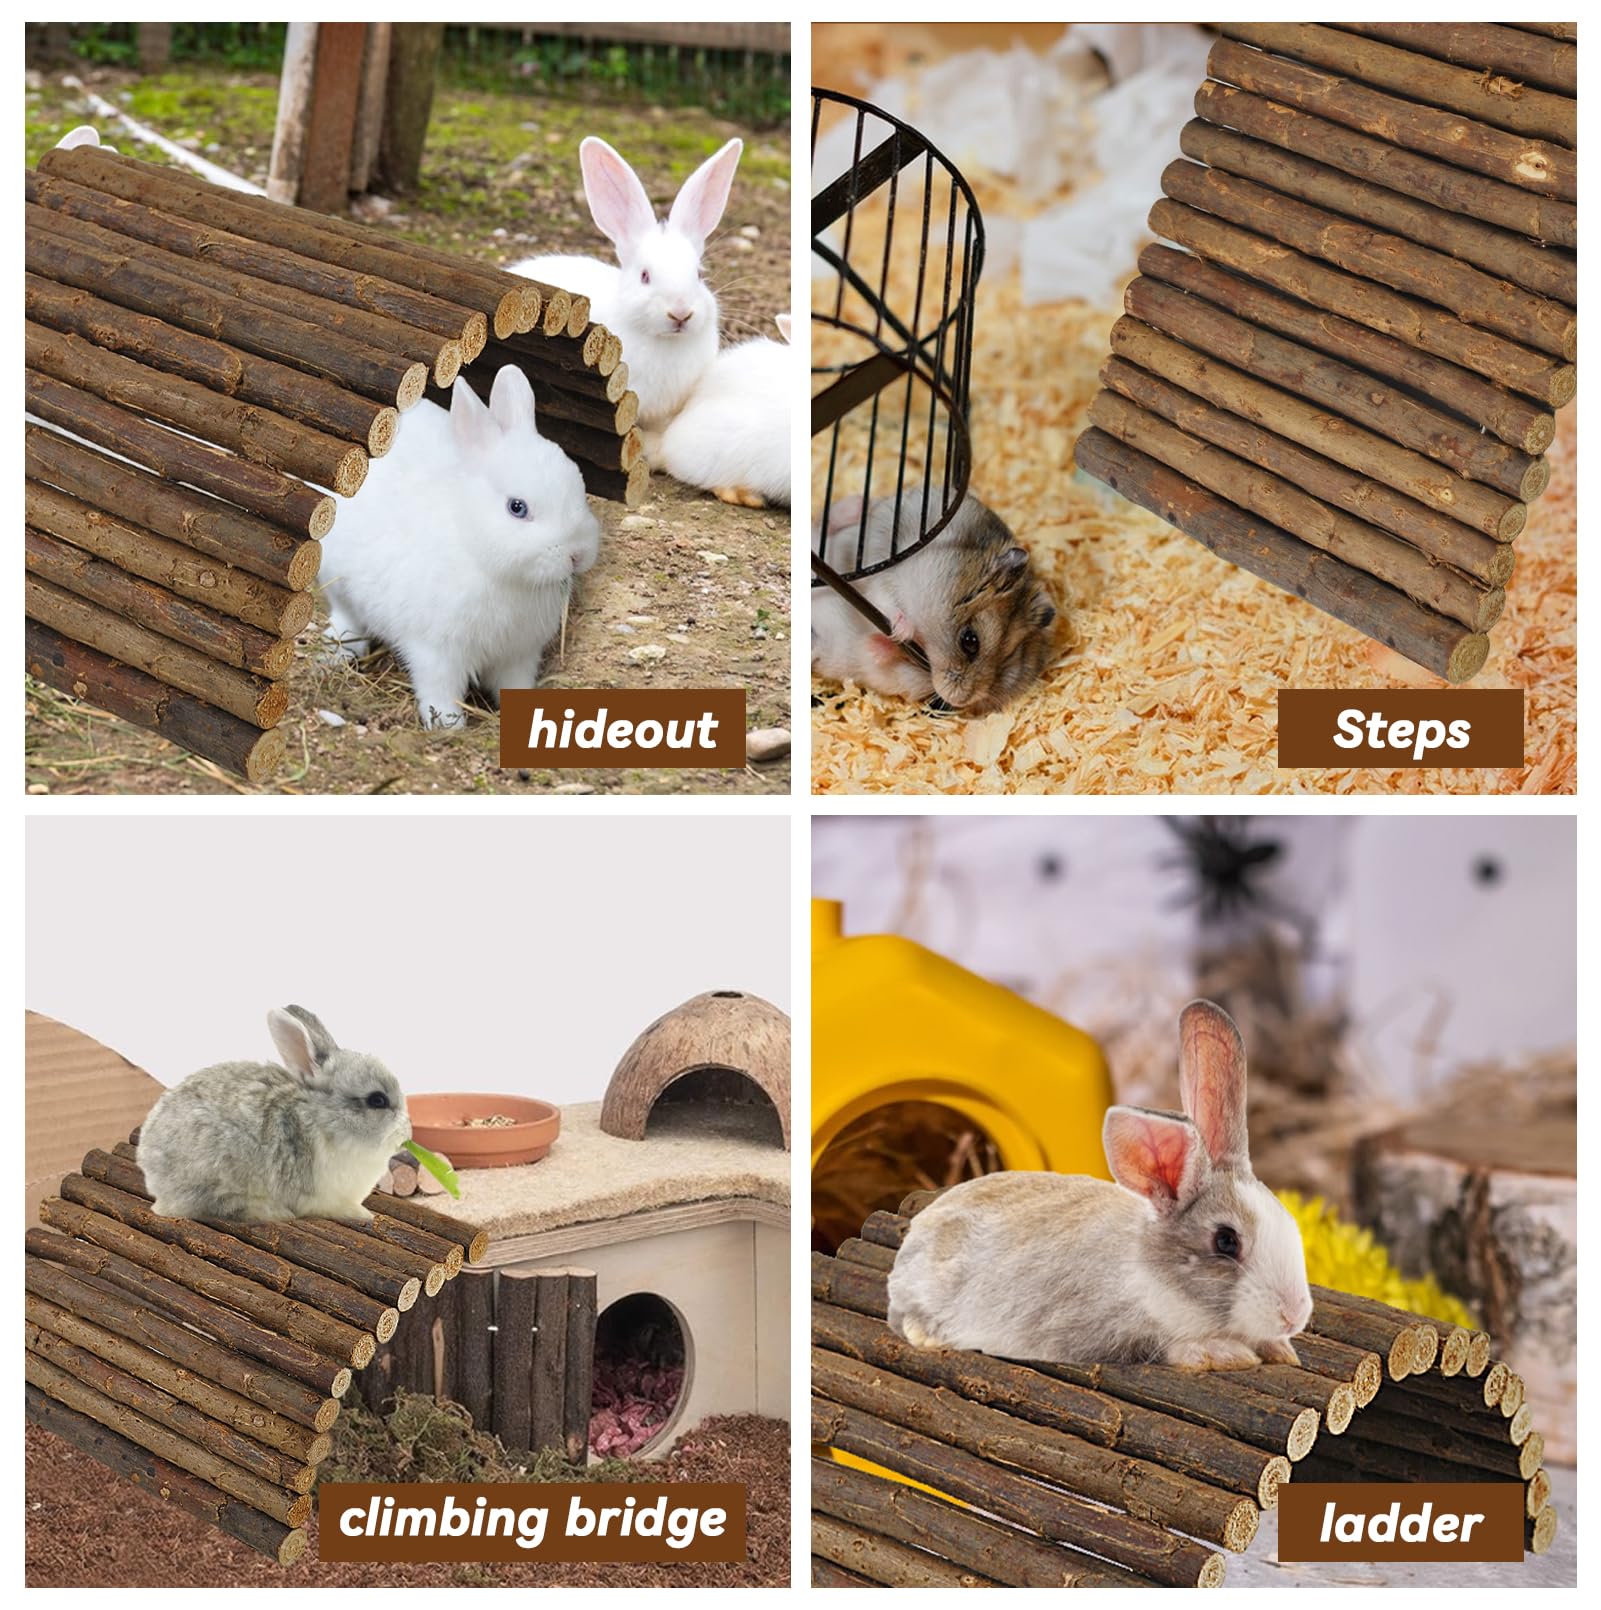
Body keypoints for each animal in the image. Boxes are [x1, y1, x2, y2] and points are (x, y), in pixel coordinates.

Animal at [811, 486, 1056, 714]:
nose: (961, 700)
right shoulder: (884, 576)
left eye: (1009, 659)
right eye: (970, 641)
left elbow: (885, 661)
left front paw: (878, 644)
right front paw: (902, 631)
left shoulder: (905, 677)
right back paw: (857, 504)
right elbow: (886, 602)